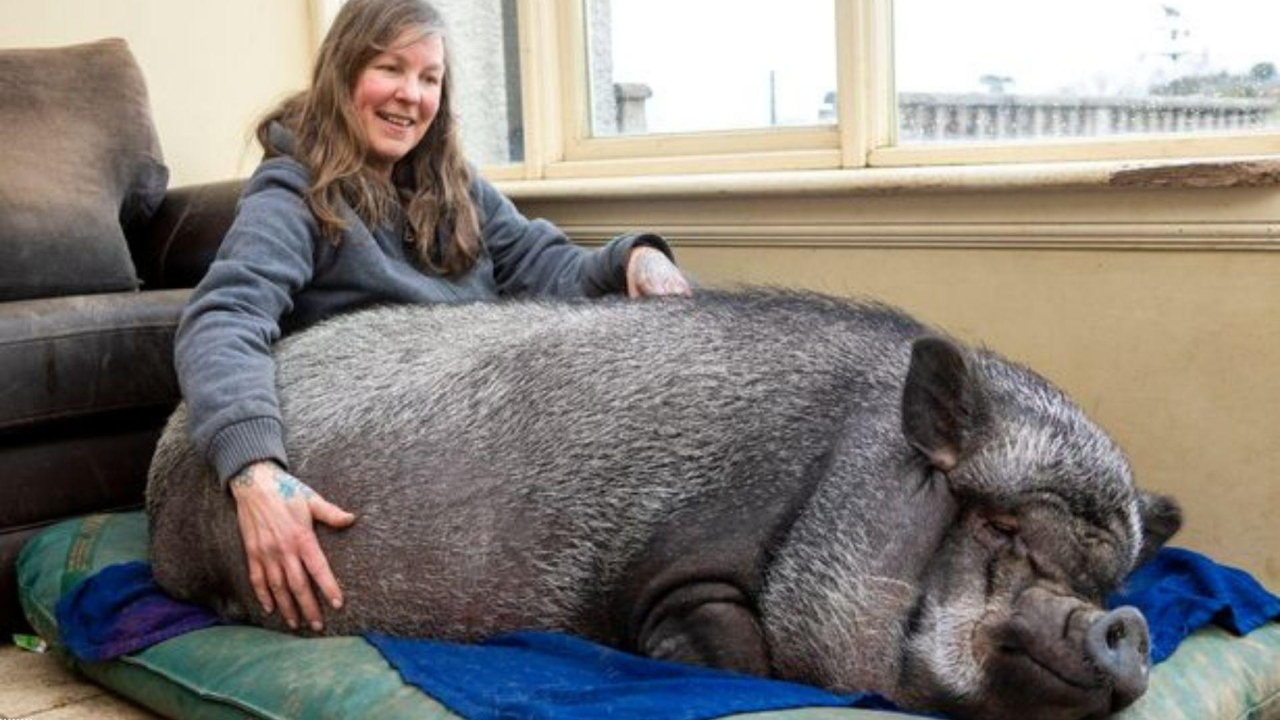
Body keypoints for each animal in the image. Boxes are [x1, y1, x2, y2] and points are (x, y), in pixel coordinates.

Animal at [146, 289, 1181, 720]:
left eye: (1112, 578)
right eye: (1000, 524)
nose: (1123, 623)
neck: (832, 474)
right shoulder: (674, 571)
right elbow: (741, 656)